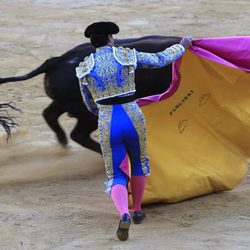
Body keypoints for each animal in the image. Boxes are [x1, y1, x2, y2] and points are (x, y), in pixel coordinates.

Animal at [0, 35, 180, 152]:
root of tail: (57, 60)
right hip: (88, 113)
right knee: (78, 134)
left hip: (64, 103)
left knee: (50, 114)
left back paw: (63, 143)